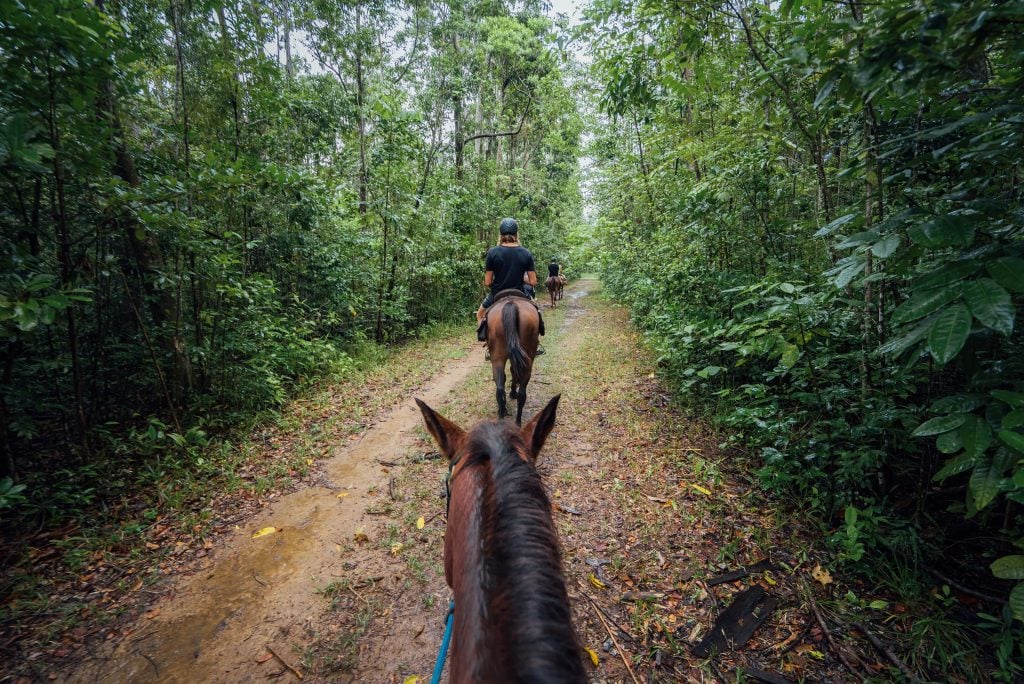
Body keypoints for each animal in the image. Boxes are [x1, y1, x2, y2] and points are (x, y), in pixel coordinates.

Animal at [483, 292, 540, 423]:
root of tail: (511, 304)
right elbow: (513, 372)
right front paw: (513, 392)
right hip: (526, 359)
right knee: (521, 393)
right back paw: (517, 421)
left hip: (497, 358)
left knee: (500, 388)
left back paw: (503, 414)